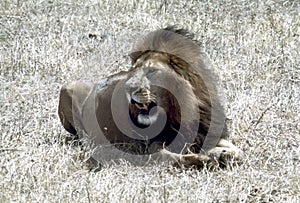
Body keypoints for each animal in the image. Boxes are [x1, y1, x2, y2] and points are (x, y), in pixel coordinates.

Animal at [58, 26, 241, 167]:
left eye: (151, 71)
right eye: (133, 71)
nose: (128, 87)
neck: (181, 109)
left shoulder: (205, 131)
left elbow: (233, 148)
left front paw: (225, 154)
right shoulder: (149, 147)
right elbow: (172, 157)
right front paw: (203, 159)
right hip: (68, 88)